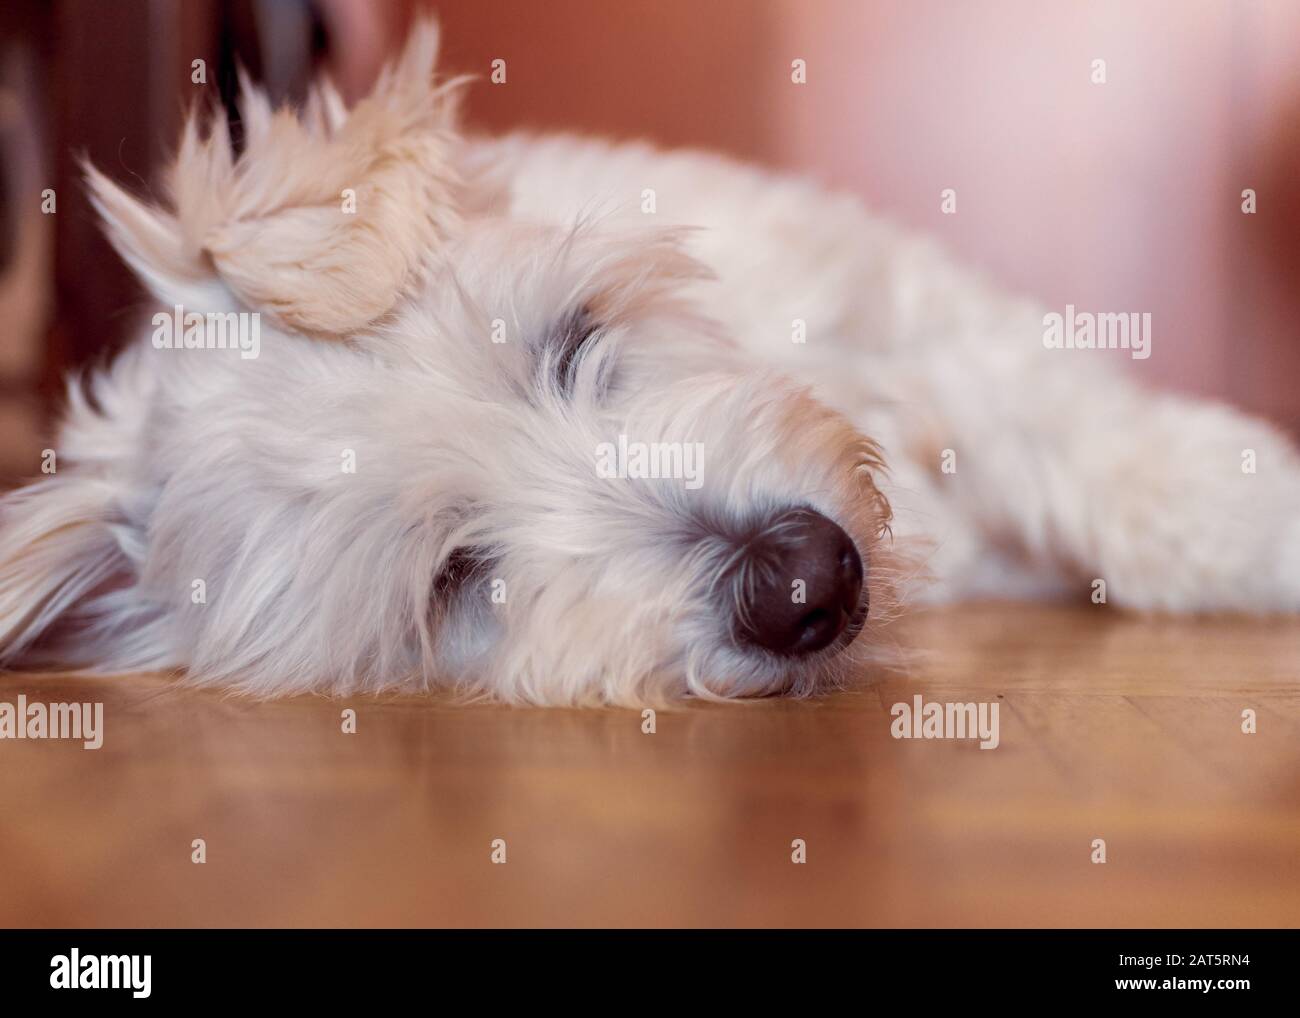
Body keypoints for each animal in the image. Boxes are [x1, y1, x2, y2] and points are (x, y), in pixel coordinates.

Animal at [2, 25, 1300, 707]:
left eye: (573, 340)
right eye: (455, 575)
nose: (800, 580)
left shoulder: (898, 297)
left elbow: (1075, 430)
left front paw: (1252, 515)